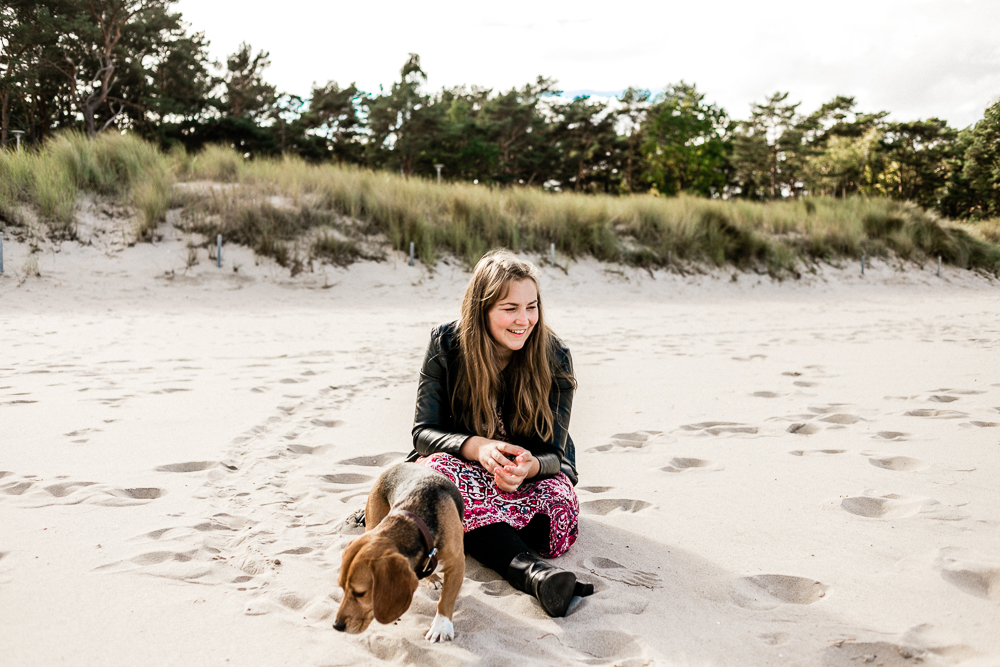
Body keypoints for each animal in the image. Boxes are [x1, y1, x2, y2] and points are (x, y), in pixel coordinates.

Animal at [334, 464, 462, 640]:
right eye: (341, 587)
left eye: (360, 593)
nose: (336, 626)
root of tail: (398, 465)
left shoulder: (457, 565)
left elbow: (446, 600)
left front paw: (441, 627)